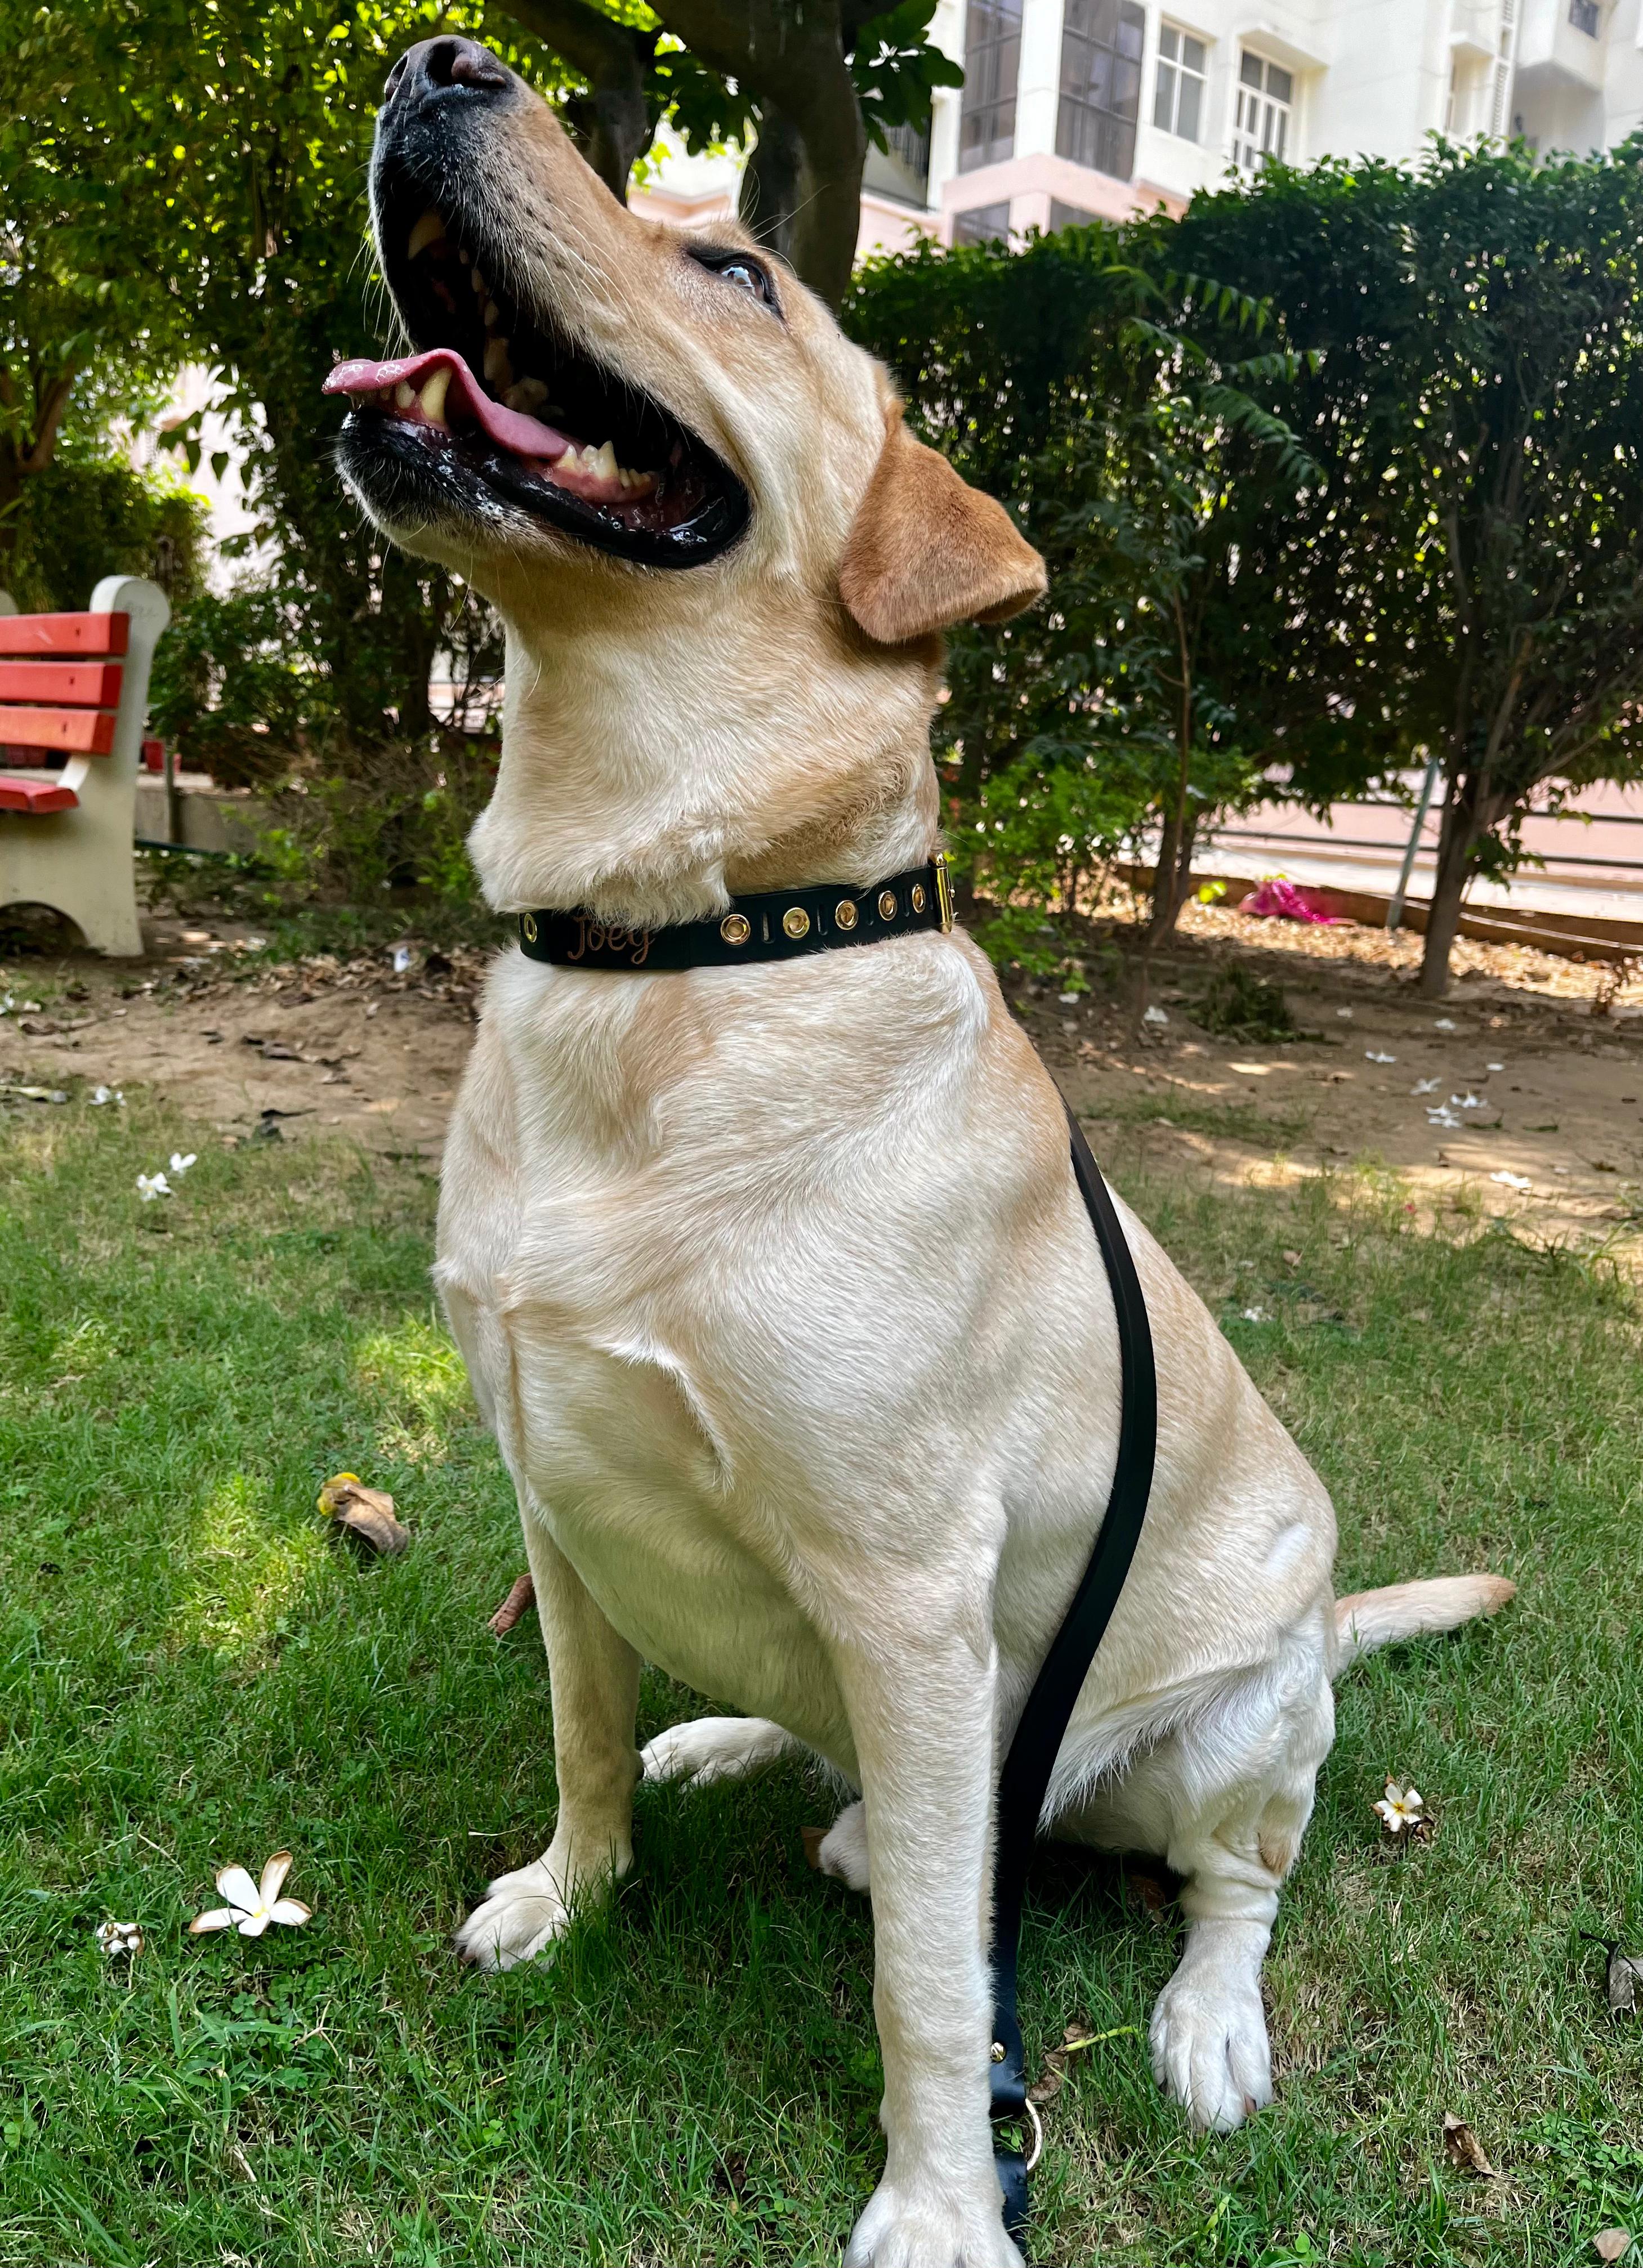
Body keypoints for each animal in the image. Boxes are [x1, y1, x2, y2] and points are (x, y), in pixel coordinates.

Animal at [331, 40, 1516, 2267]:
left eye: (730, 269)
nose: (436, 63)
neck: (690, 941)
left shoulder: (907, 1591)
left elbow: (934, 1991)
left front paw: (948, 2199)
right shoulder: (553, 1486)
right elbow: (579, 1734)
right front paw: (569, 1890)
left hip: (1228, 1723)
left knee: (1225, 1874)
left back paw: (1202, 2013)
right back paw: (751, 1744)